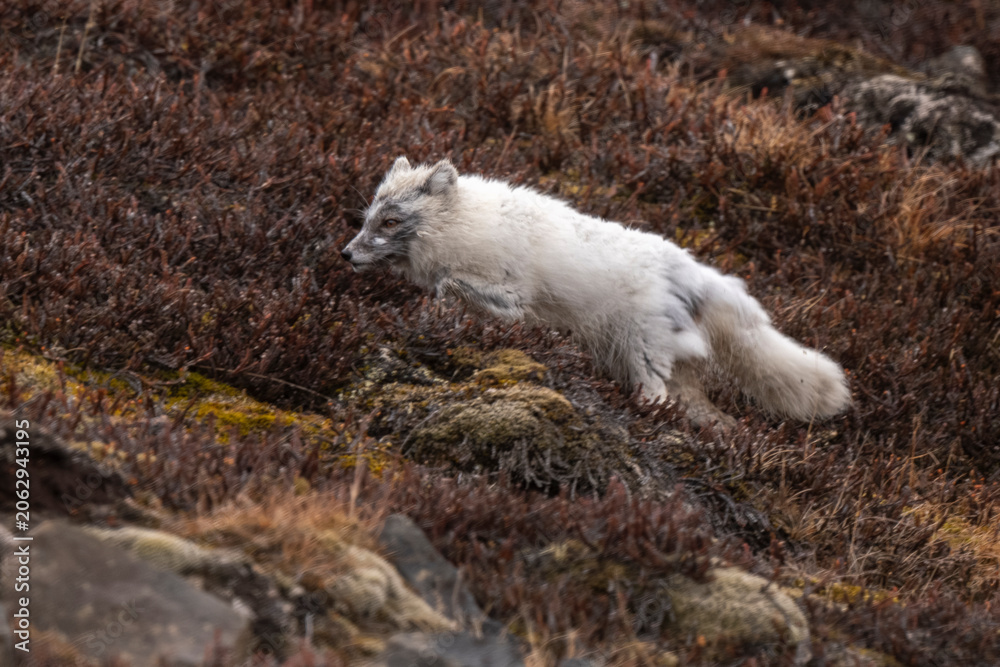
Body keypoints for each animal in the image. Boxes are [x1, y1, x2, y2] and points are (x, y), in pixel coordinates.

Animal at [341, 157, 851, 427]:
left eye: (391, 222)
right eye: (368, 218)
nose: (346, 255)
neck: (466, 226)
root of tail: (696, 272)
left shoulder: (511, 292)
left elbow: (456, 288)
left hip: (641, 351)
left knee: (658, 398)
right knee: (708, 415)